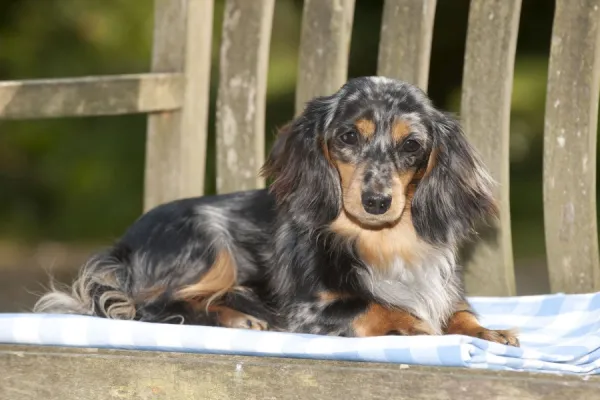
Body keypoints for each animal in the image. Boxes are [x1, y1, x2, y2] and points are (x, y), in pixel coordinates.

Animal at [32, 76, 516, 346]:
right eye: (348, 137)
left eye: (412, 145)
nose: (377, 202)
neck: (385, 243)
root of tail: (125, 244)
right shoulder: (309, 309)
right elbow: (377, 306)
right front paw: (416, 325)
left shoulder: (444, 289)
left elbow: (460, 313)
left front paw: (487, 332)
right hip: (208, 242)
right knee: (152, 306)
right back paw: (238, 318)